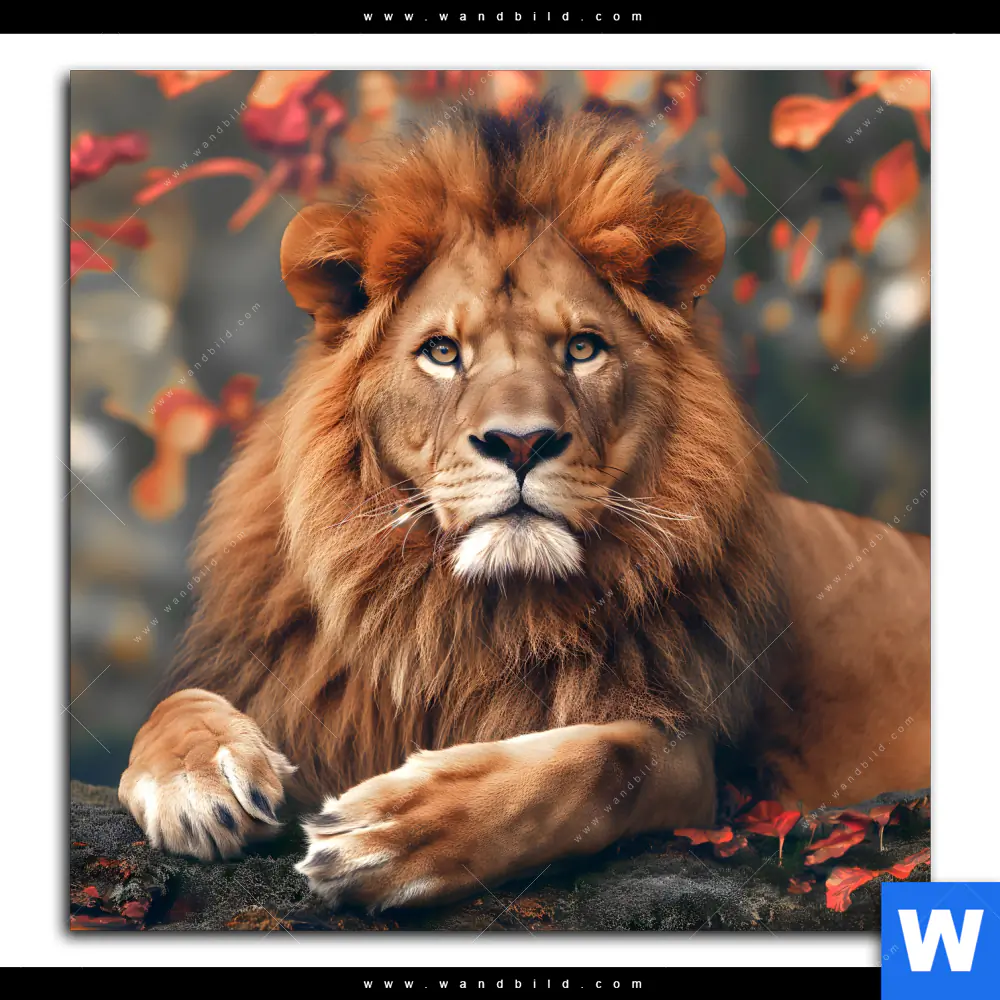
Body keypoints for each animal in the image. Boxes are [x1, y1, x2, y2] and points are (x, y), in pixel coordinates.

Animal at [118, 105, 930, 911]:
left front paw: (395, 829)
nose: (519, 441)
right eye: (443, 351)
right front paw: (198, 779)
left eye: (582, 348)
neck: (460, 612)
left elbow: (599, 762)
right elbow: (171, 704)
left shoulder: (699, 764)